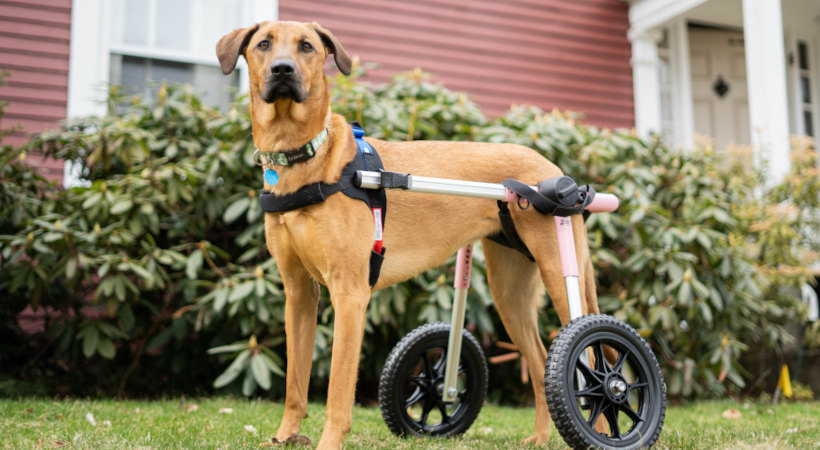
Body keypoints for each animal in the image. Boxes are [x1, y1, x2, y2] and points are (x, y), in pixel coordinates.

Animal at [218, 21, 604, 450]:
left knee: (590, 356)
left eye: (306, 46)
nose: (282, 70)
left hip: (560, 274)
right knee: (540, 363)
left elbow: (337, 389)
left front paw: (329, 441)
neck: (307, 155)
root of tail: (554, 170)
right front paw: (286, 436)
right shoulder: (299, 293)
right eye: (263, 44)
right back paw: (538, 438)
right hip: (510, 292)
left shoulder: (350, 294)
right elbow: (294, 385)